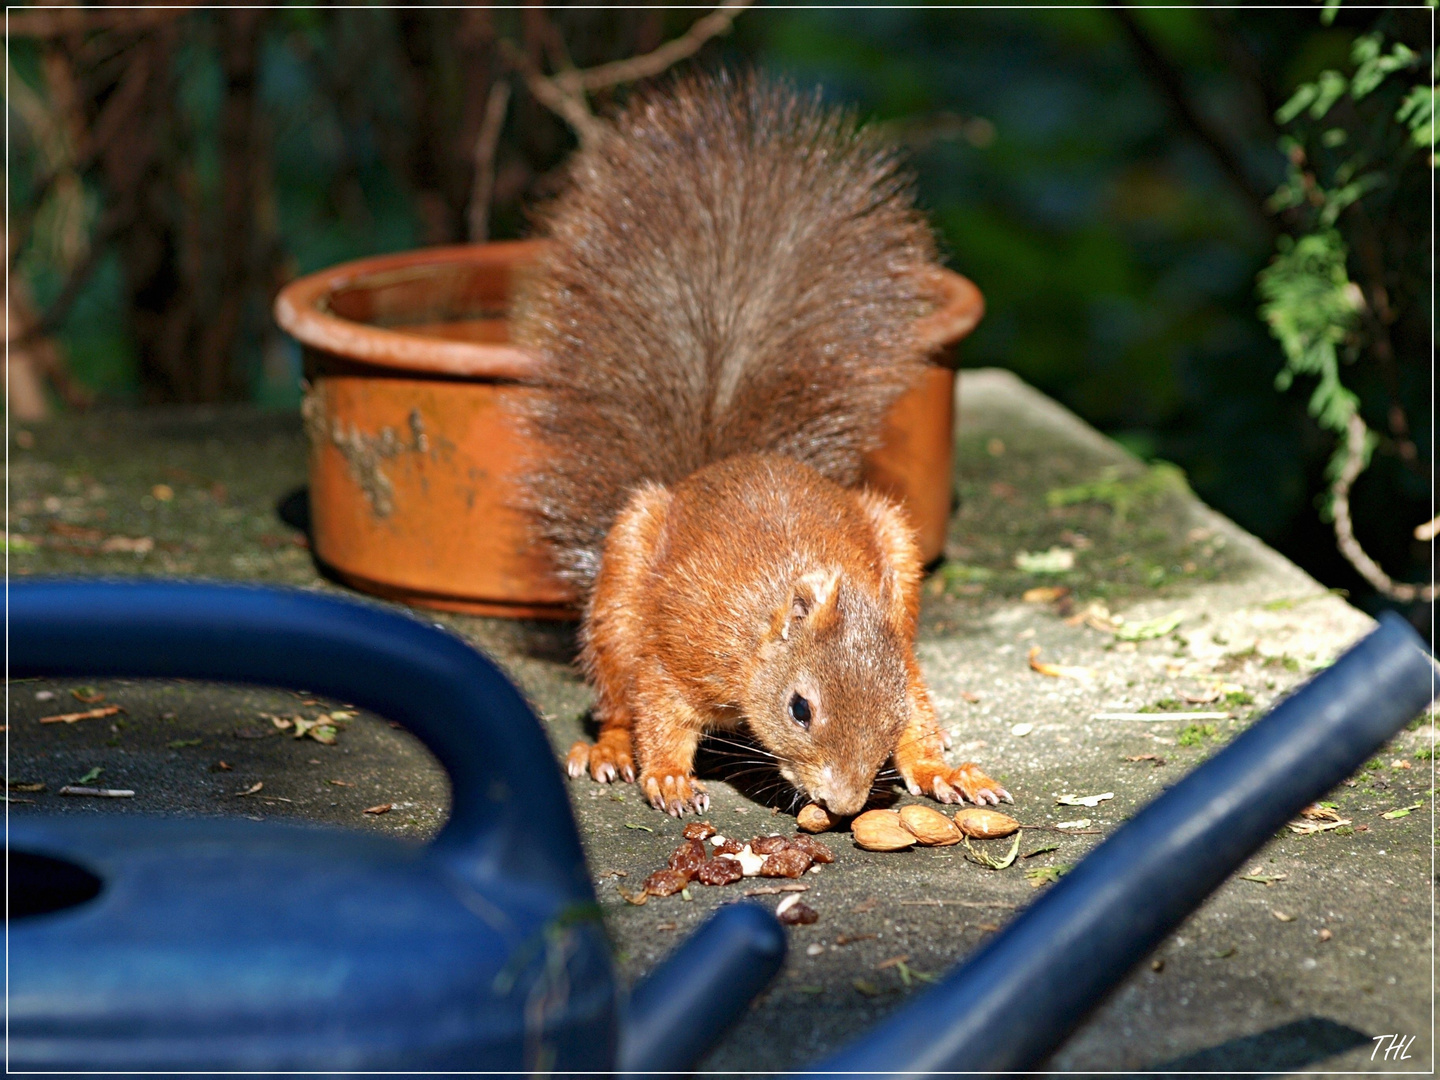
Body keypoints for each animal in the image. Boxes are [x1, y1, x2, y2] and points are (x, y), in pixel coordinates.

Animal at [512, 74, 1008, 817]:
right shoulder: (683, 646)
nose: (844, 805)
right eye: (800, 708)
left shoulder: (901, 652)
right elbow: (659, 704)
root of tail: (716, 464)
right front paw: (668, 777)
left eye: (888, 711)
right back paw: (610, 750)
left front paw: (940, 767)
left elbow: (922, 706)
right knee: (617, 692)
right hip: (620, 592)